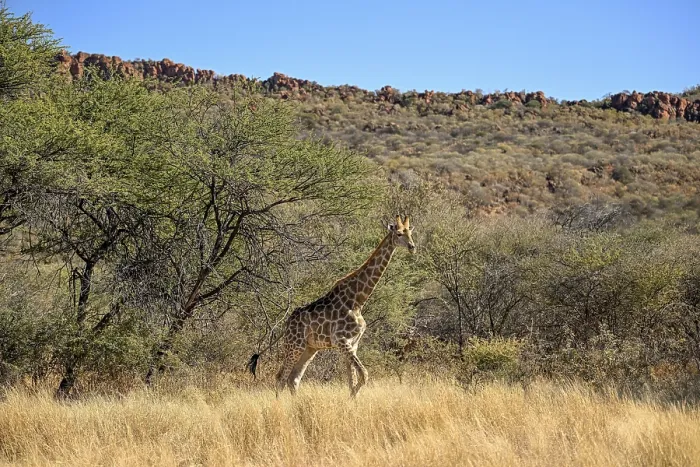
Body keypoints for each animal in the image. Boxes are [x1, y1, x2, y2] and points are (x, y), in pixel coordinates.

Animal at [257, 215, 415, 398]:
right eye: (398, 234)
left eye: (410, 233)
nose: (412, 247)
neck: (358, 300)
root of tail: (287, 323)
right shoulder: (342, 340)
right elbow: (364, 375)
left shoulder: (353, 344)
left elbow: (352, 381)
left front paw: (352, 401)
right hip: (294, 345)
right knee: (281, 377)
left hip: (310, 348)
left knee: (293, 379)